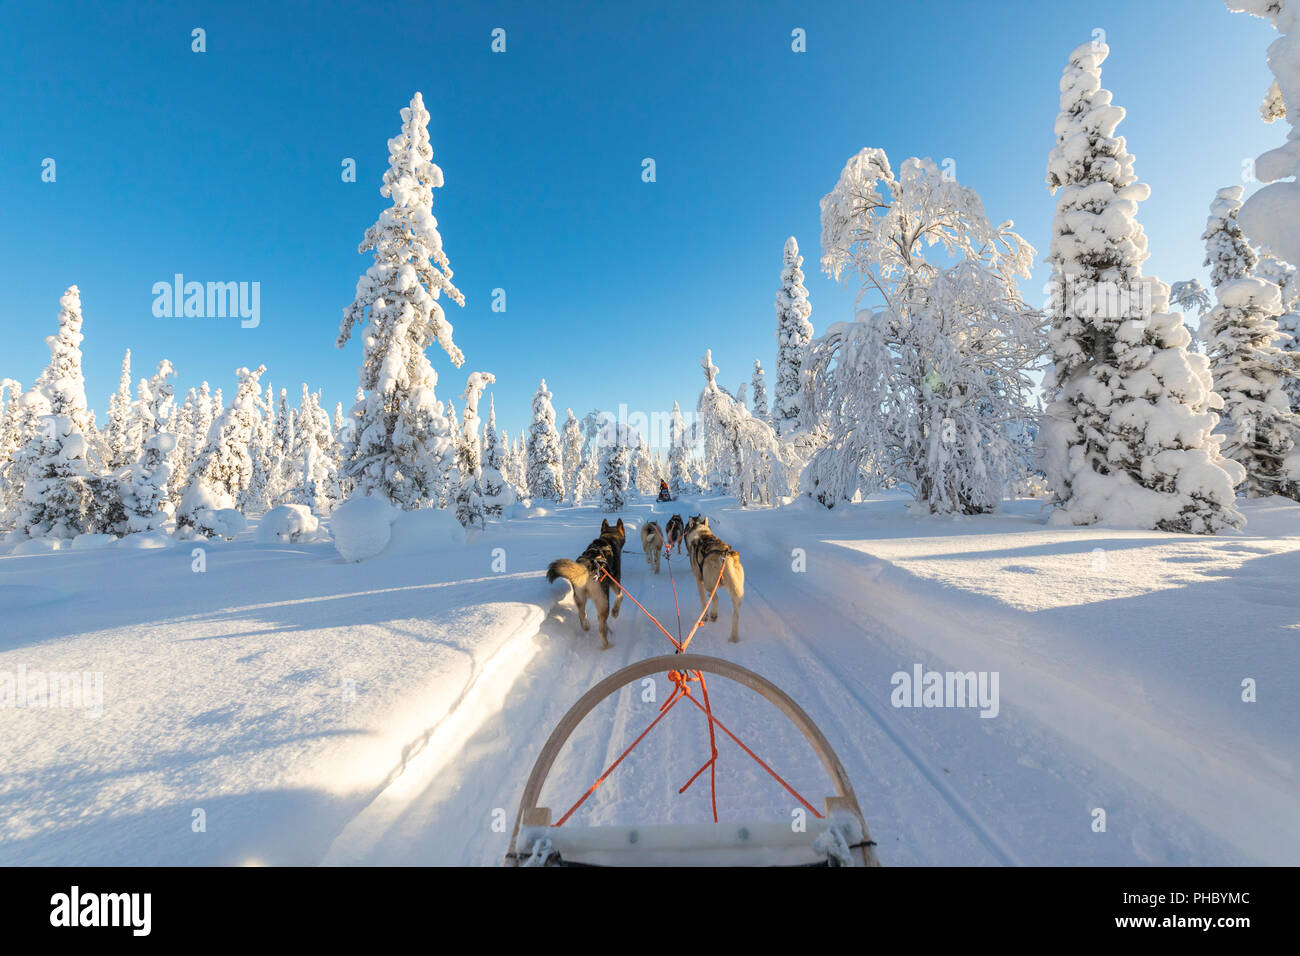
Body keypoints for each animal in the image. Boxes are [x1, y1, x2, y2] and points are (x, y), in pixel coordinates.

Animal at [546, 522, 626, 650]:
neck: (608, 538)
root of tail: (588, 566)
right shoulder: (615, 582)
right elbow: (620, 597)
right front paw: (615, 612)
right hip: (603, 602)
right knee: (601, 628)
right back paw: (607, 646)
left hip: (579, 598)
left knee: (582, 615)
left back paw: (586, 626)